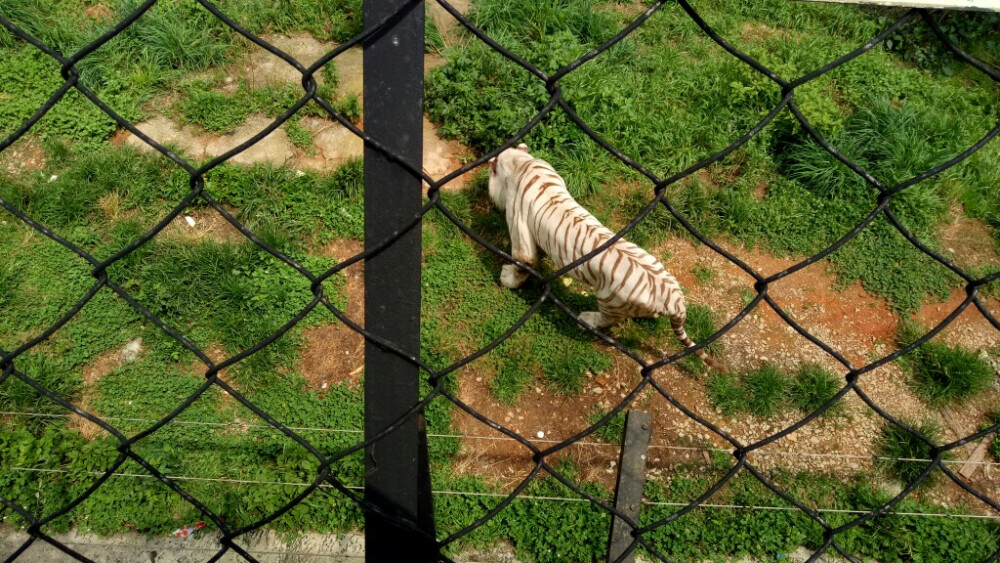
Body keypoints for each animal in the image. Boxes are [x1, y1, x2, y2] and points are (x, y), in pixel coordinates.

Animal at [486, 143, 716, 368]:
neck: (522, 163)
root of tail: (674, 299)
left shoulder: (519, 227)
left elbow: (523, 261)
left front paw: (507, 278)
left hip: (609, 301)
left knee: (607, 320)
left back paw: (586, 319)